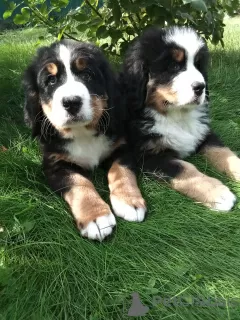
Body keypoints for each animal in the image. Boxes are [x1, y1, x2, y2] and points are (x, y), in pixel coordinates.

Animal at [23, 39, 146, 240]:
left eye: (87, 75)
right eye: (51, 80)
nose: (71, 102)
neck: (82, 133)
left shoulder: (122, 147)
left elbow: (121, 171)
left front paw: (129, 201)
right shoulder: (55, 163)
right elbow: (79, 182)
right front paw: (96, 217)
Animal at [123, 26, 240, 212]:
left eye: (198, 65)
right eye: (173, 66)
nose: (201, 87)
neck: (177, 115)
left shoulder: (204, 132)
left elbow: (222, 151)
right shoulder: (148, 155)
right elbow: (184, 169)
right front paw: (217, 192)